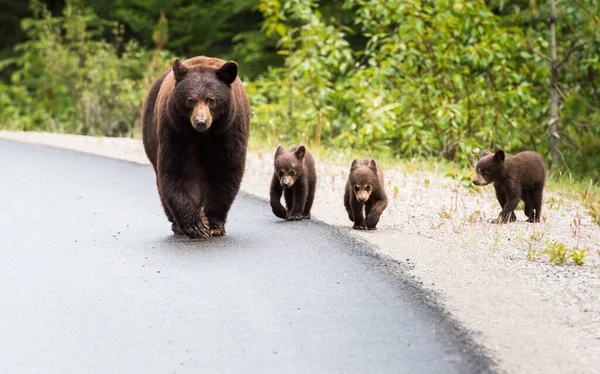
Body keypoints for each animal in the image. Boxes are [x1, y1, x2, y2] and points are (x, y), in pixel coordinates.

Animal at [142, 56, 250, 238]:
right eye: (190, 100)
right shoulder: (177, 130)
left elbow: (224, 169)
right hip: (151, 131)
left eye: (211, 100)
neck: (204, 135)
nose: (201, 122)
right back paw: (177, 225)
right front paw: (197, 225)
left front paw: (213, 224)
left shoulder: (227, 131)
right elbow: (180, 170)